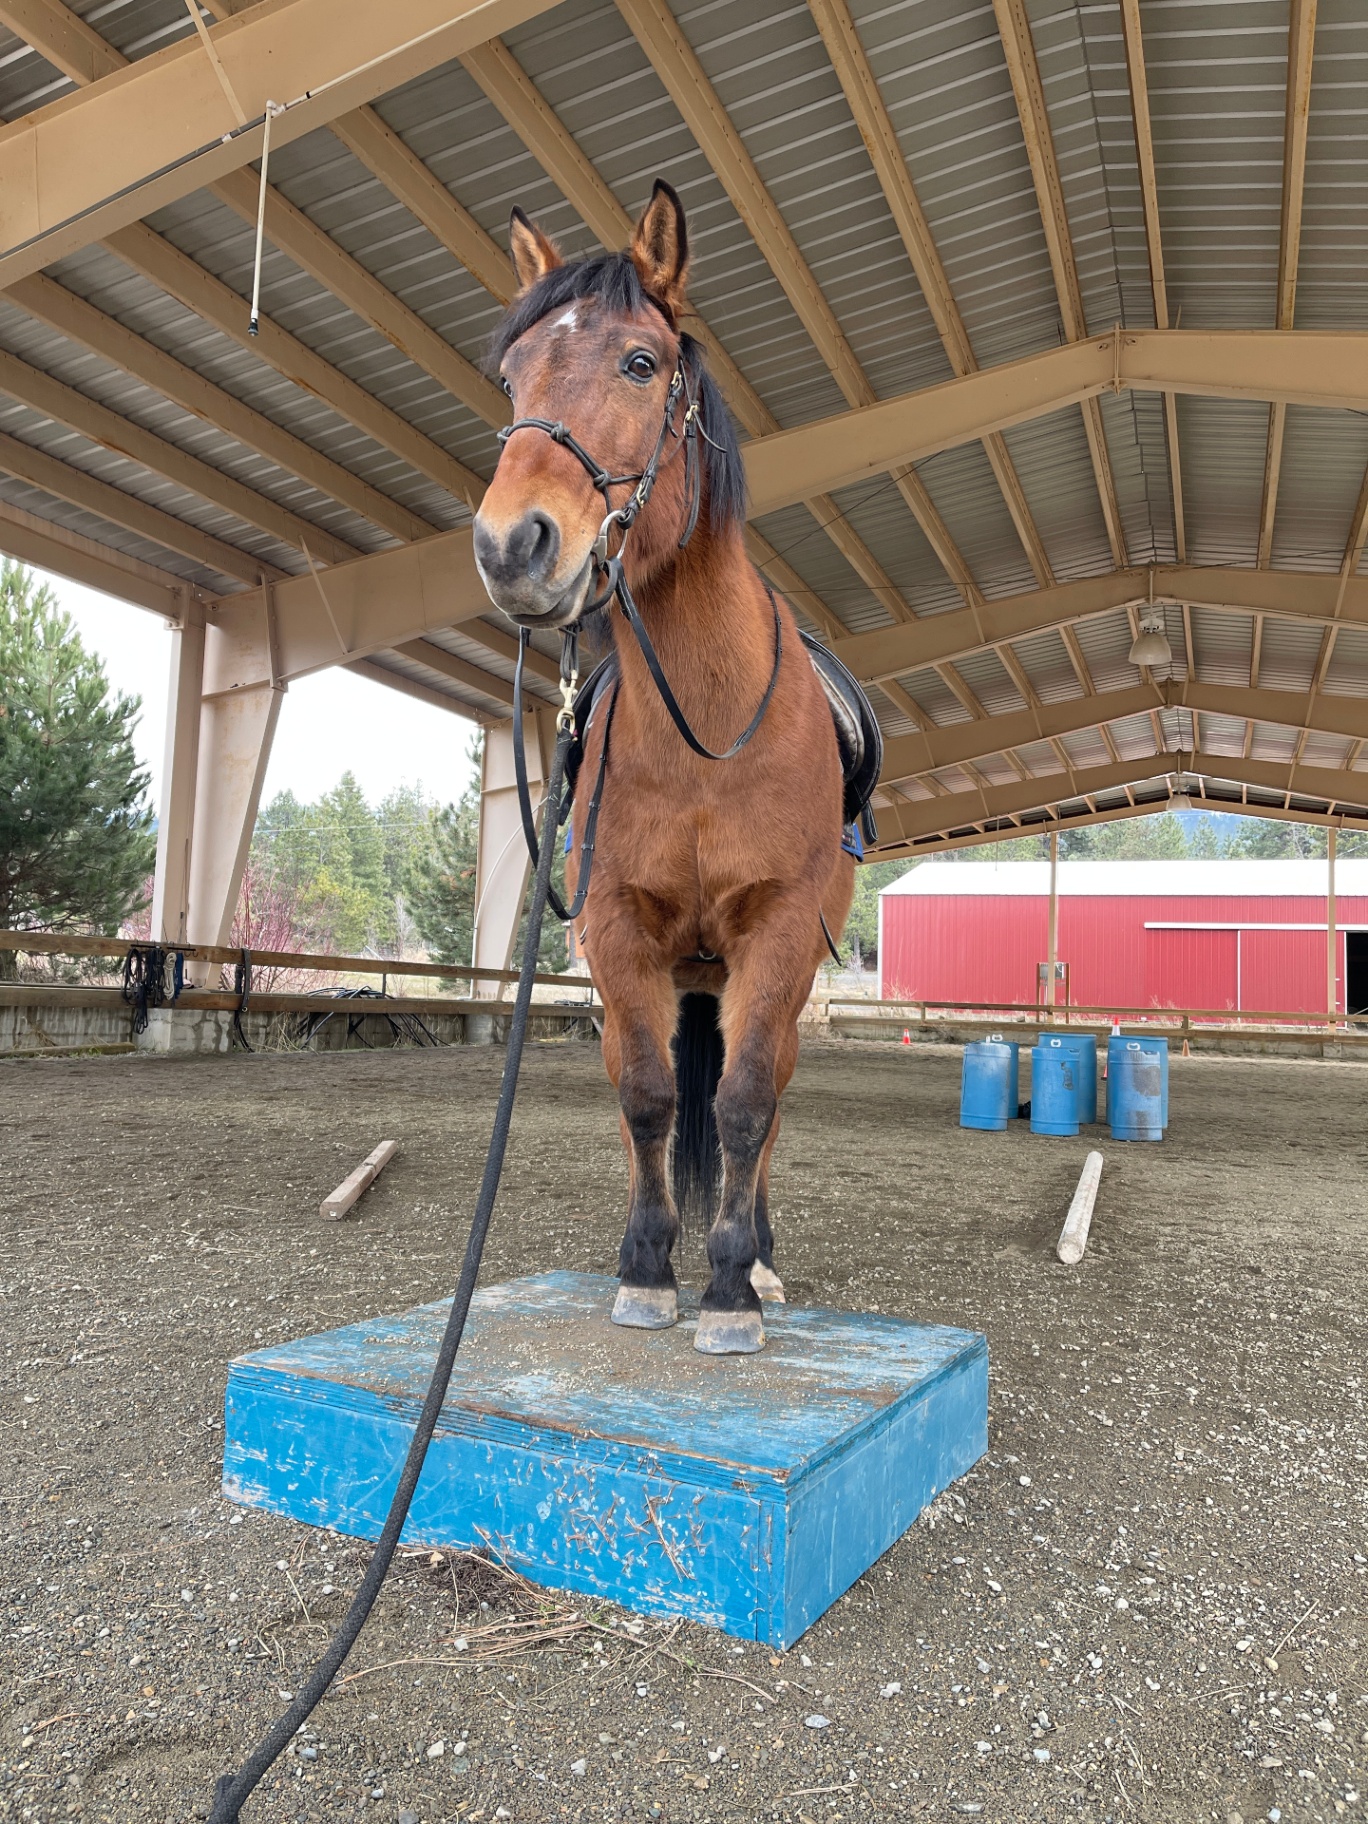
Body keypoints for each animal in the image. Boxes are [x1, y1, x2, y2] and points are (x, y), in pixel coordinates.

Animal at [472, 181, 863, 1355]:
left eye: (640, 363)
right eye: (513, 375)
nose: (512, 547)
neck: (706, 731)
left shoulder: (774, 937)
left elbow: (741, 1105)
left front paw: (730, 1284)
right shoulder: (617, 932)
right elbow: (647, 1096)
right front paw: (648, 1268)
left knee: (764, 1104)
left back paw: (762, 1259)